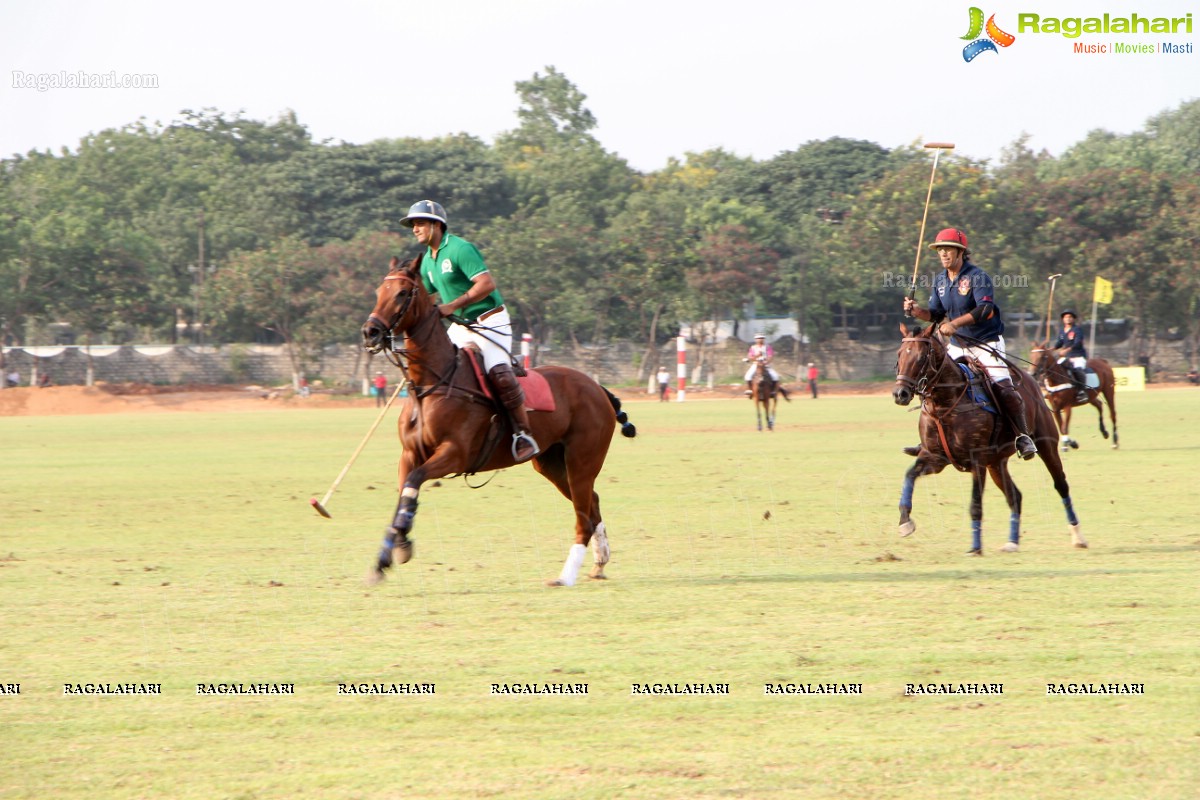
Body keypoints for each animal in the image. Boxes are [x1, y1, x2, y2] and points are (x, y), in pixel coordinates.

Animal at [357, 260, 633, 585]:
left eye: (402, 293)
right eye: (379, 291)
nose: (370, 332)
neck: (431, 384)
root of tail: (597, 387)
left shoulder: (455, 453)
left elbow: (413, 483)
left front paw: (397, 548)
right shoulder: (410, 453)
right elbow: (404, 492)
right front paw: (388, 555)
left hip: (582, 459)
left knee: (583, 516)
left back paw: (564, 577)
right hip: (552, 463)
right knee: (593, 503)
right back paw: (599, 563)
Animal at [892, 326, 1089, 556]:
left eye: (921, 357)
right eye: (899, 354)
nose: (900, 393)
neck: (944, 403)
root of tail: (1031, 382)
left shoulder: (976, 460)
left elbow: (975, 505)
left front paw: (976, 548)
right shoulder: (935, 458)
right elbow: (909, 476)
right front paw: (905, 522)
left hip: (1046, 445)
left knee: (1061, 485)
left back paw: (1078, 537)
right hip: (996, 462)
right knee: (1015, 496)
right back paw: (1012, 542)